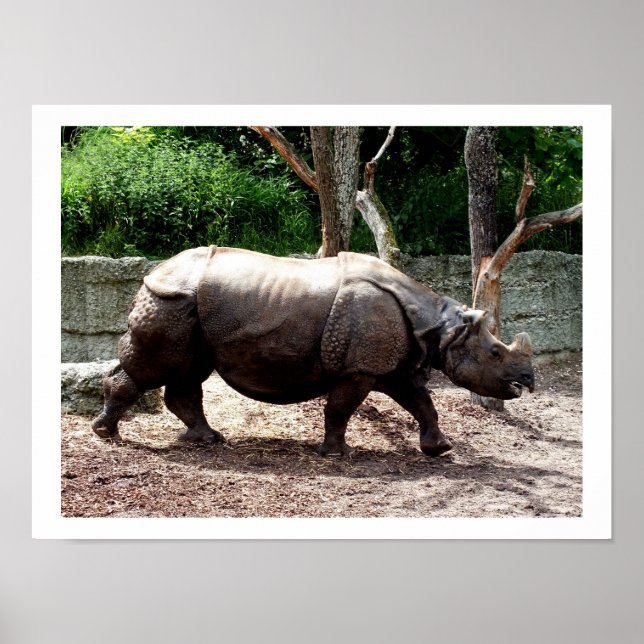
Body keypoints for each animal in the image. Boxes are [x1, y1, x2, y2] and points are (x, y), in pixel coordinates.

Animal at [92, 246, 534, 457]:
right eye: (496, 354)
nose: (528, 381)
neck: (439, 325)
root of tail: (154, 271)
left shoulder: (390, 365)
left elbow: (422, 402)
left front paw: (440, 450)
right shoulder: (360, 367)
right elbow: (340, 408)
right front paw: (338, 453)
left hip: (188, 307)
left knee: (187, 372)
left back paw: (208, 439)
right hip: (170, 300)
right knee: (156, 367)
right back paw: (106, 433)